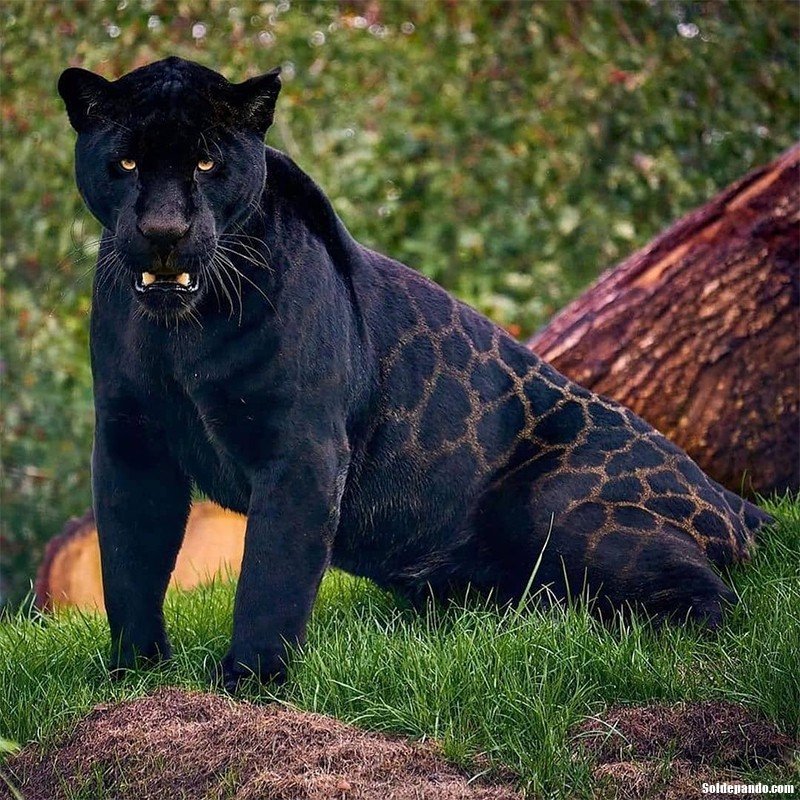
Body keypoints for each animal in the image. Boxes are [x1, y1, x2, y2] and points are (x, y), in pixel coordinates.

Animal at [58, 57, 771, 690]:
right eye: (126, 163)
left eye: (206, 163)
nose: (164, 231)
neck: (183, 335)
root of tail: (729, 496)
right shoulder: (130, 441)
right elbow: (129, 564)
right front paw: (134, 673)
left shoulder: (301, 449)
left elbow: (269, 573)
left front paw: (249, 681)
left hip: (555, 507)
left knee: (715, 602)